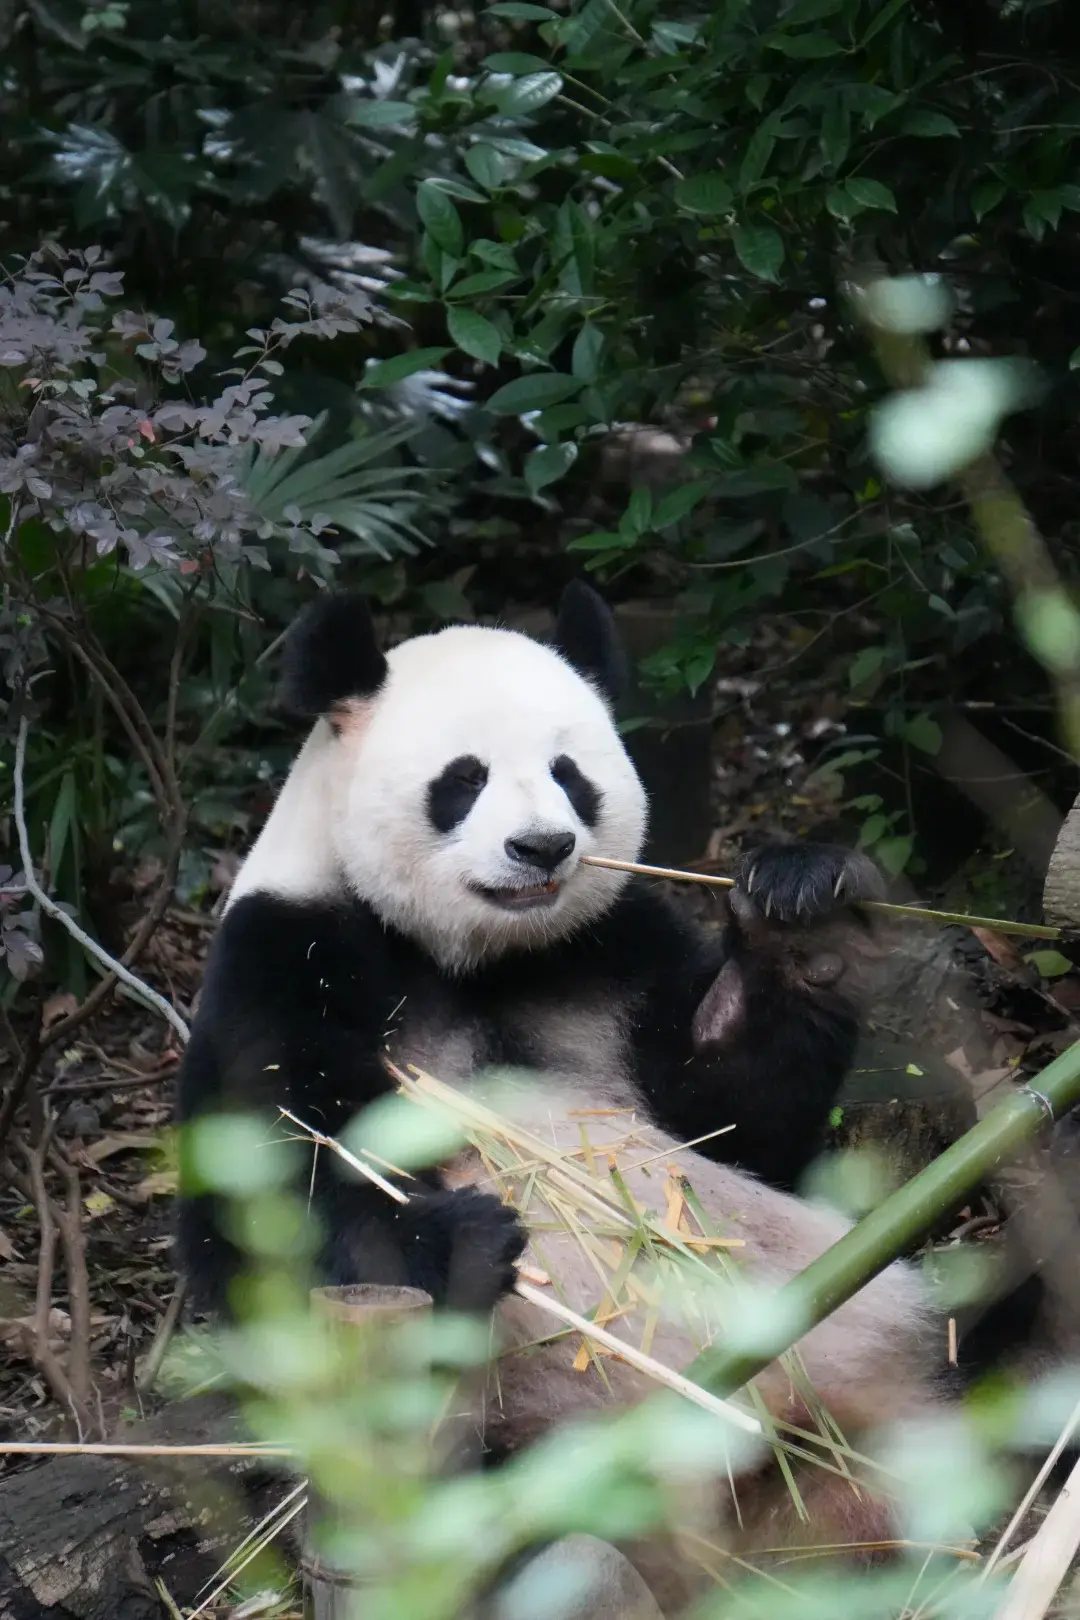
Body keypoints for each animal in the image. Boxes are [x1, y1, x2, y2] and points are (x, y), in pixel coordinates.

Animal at [176, 582, 947, 1605]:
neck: (479, 956)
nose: (541, 846)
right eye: (462, 778)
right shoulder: (286, 956)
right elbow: (262, 1193)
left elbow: (741, 1128)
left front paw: (800, 917)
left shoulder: (614, 951)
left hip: (863, 1360)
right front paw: (456, 1240)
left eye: (570, 774)